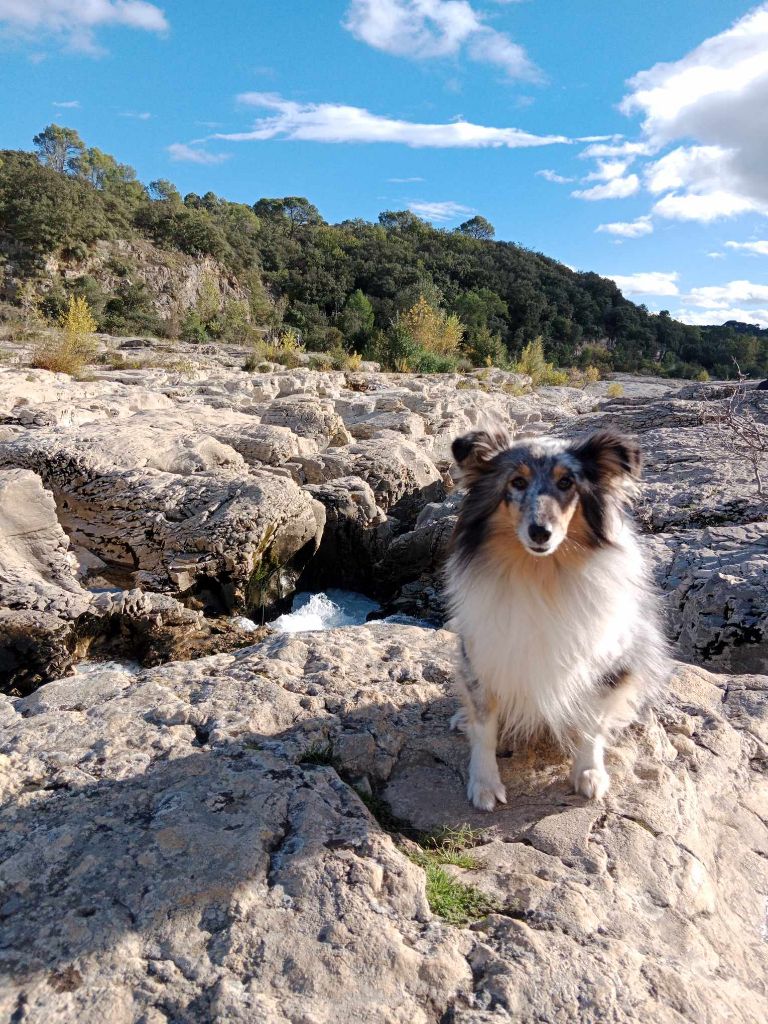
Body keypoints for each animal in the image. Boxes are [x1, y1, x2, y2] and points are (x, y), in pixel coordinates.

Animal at [448, 423, 671, 806]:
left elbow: (592, 724)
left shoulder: (606, 663)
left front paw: (589, 773)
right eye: (517, 482)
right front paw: (485, 783)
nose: (541, 532)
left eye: (567, 482)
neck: (541, 574)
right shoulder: (482, 654)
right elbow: (484, 724)